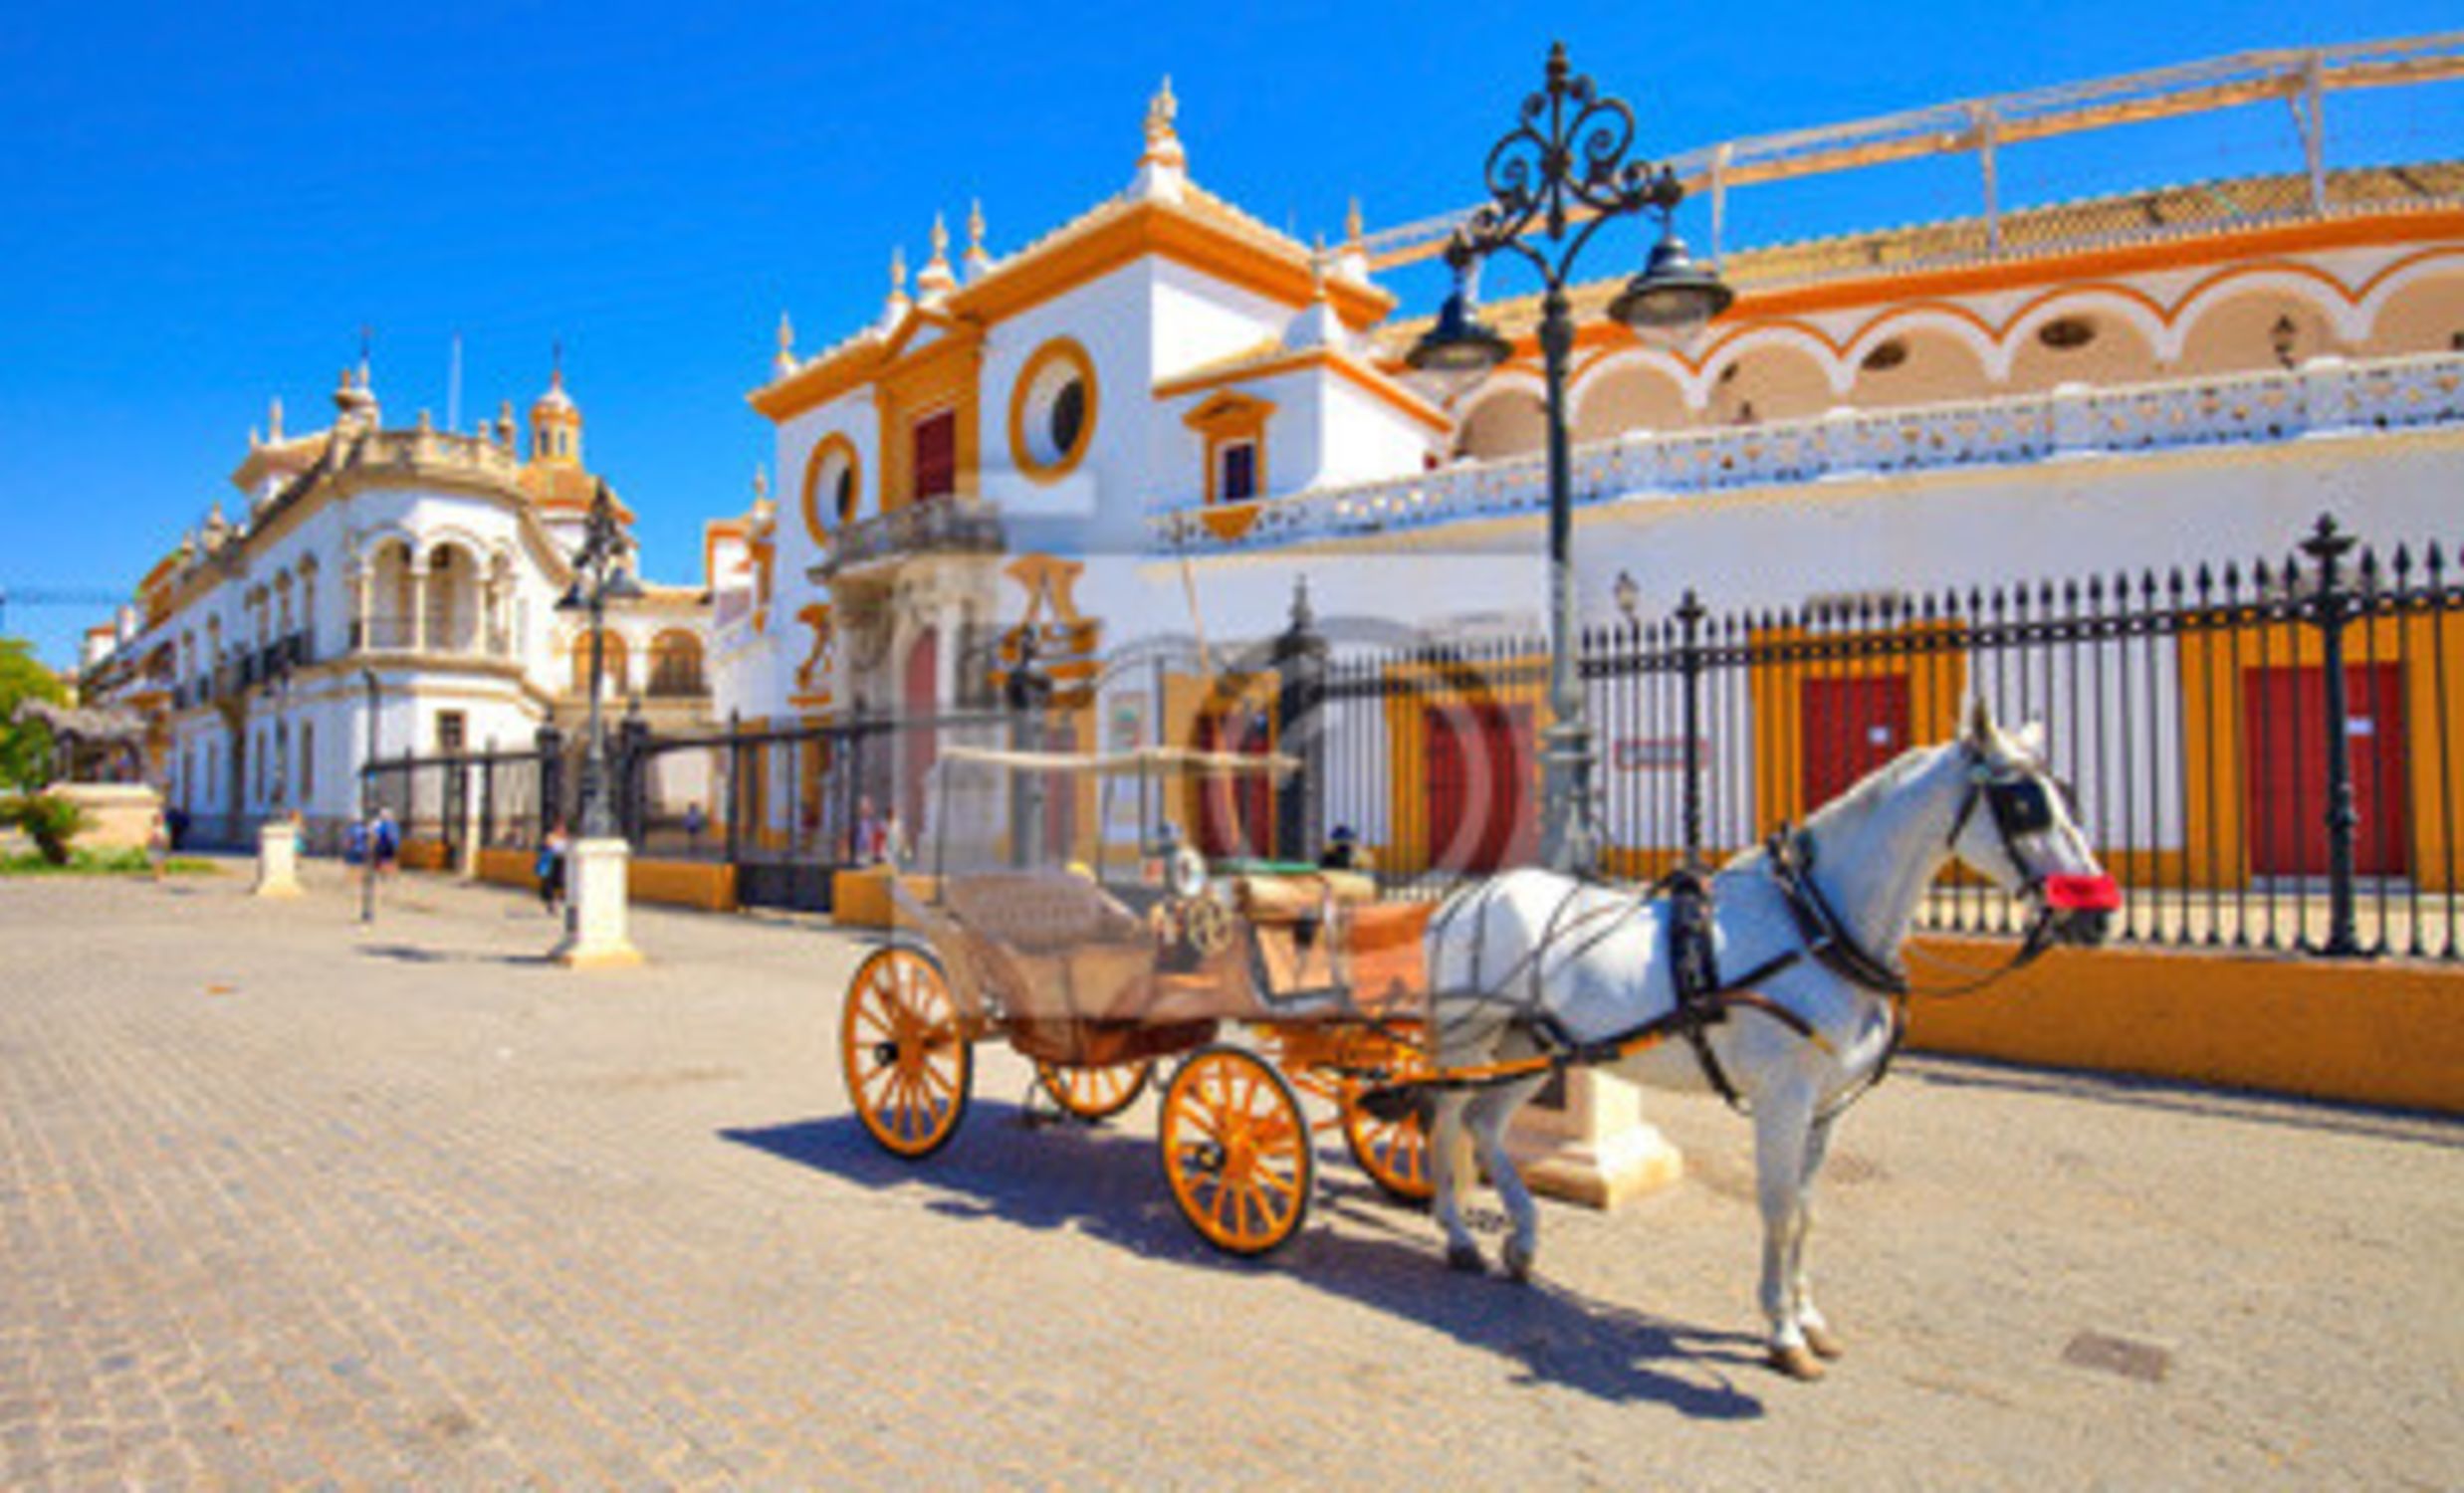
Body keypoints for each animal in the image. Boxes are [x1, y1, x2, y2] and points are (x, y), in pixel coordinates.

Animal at [1429, 699, 2119, 1380]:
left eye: (2069, 795)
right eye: (2024, 806)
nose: (2100, 916)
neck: (1818, 926)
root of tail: (1466, 896)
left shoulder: (1827, 1103)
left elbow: (1808, 1209)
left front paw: (1808, 1316)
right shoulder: (1783, 1097)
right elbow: (1780, 1208)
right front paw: (1783, 1332)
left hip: (1529, 1048)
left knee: (1484, 1124)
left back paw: (1522, 1239)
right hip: (1468, 1042)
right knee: (1444, 1123)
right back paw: (1458, 1235)